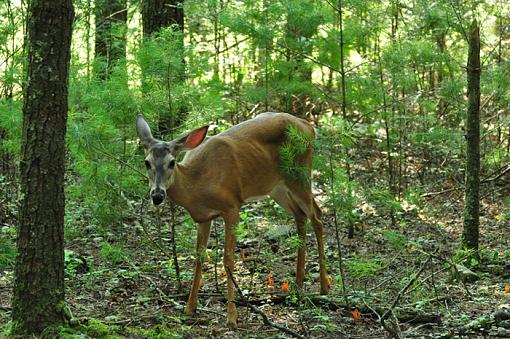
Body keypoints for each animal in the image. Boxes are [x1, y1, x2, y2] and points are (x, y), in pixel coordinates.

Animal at [135, 113, 328, 330]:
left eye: (171, 162)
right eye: (147, 162)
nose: (157, 195)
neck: (198, 185)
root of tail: (309, 127)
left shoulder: (232, 206)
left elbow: (228, 259)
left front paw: (232, 316)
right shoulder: (203, 218)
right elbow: (199, 258)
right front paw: (190, 307)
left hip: (300, 174)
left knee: (317, 215)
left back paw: (324, 287)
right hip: (277, 187)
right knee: (300, 216)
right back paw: (298, 285)